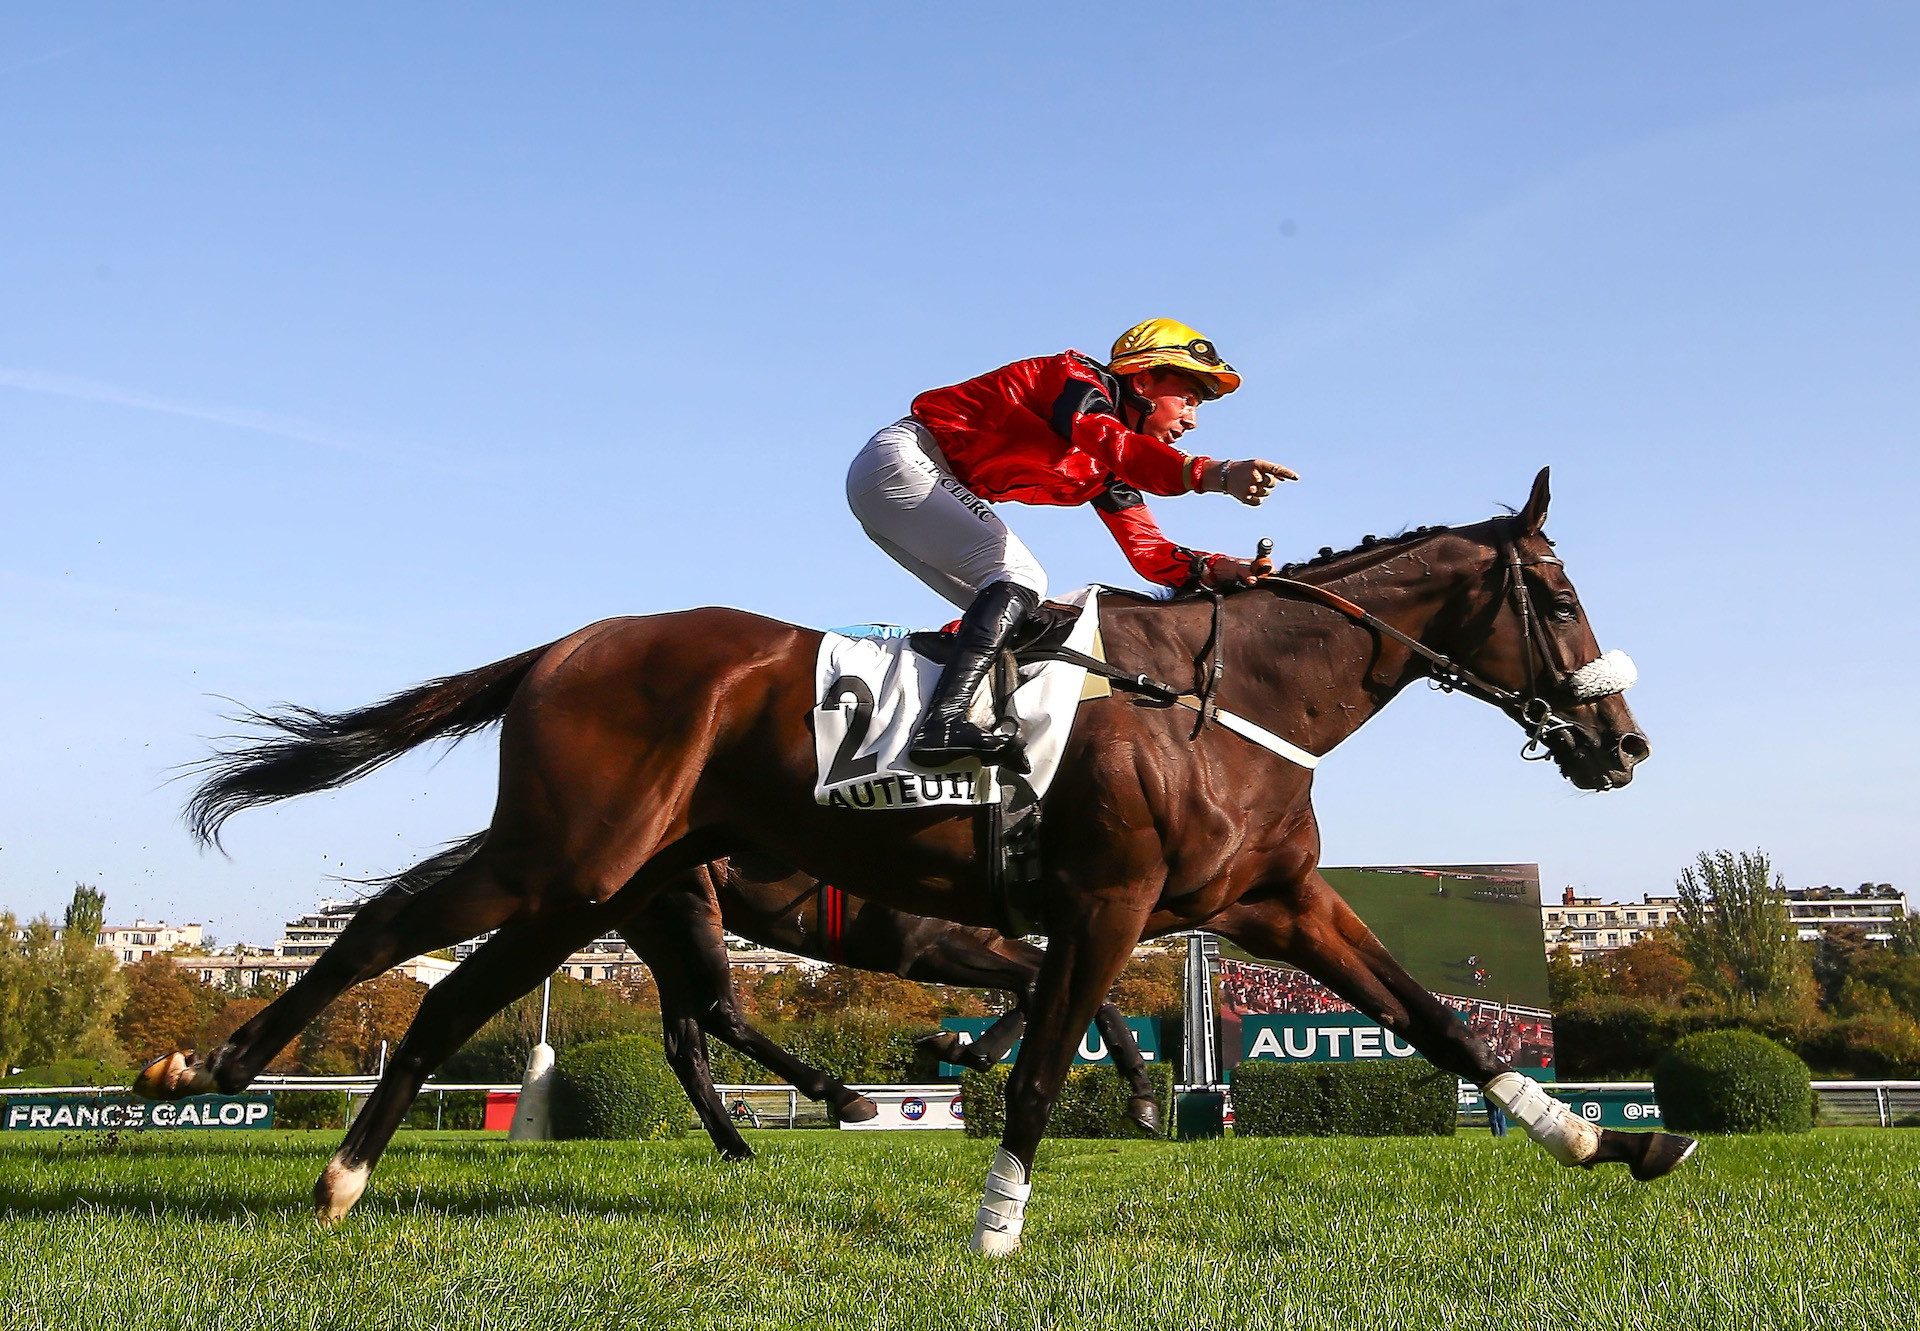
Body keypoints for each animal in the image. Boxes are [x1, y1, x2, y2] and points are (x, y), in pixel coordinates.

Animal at [149, 472, 1681, 1252]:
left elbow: (1431, 1016)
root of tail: (565, 644)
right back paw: (288, 1127)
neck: (1223, 696)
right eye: (1557, 592)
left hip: (606, 876)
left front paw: (1598, 1134)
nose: (1623, 741)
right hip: (571, 859)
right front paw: (1000, 1217)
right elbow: (1051, 1050)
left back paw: (271, 1105)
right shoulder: (1108, 901)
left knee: (458, 967)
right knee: (419, 954)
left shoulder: (1275, 900)